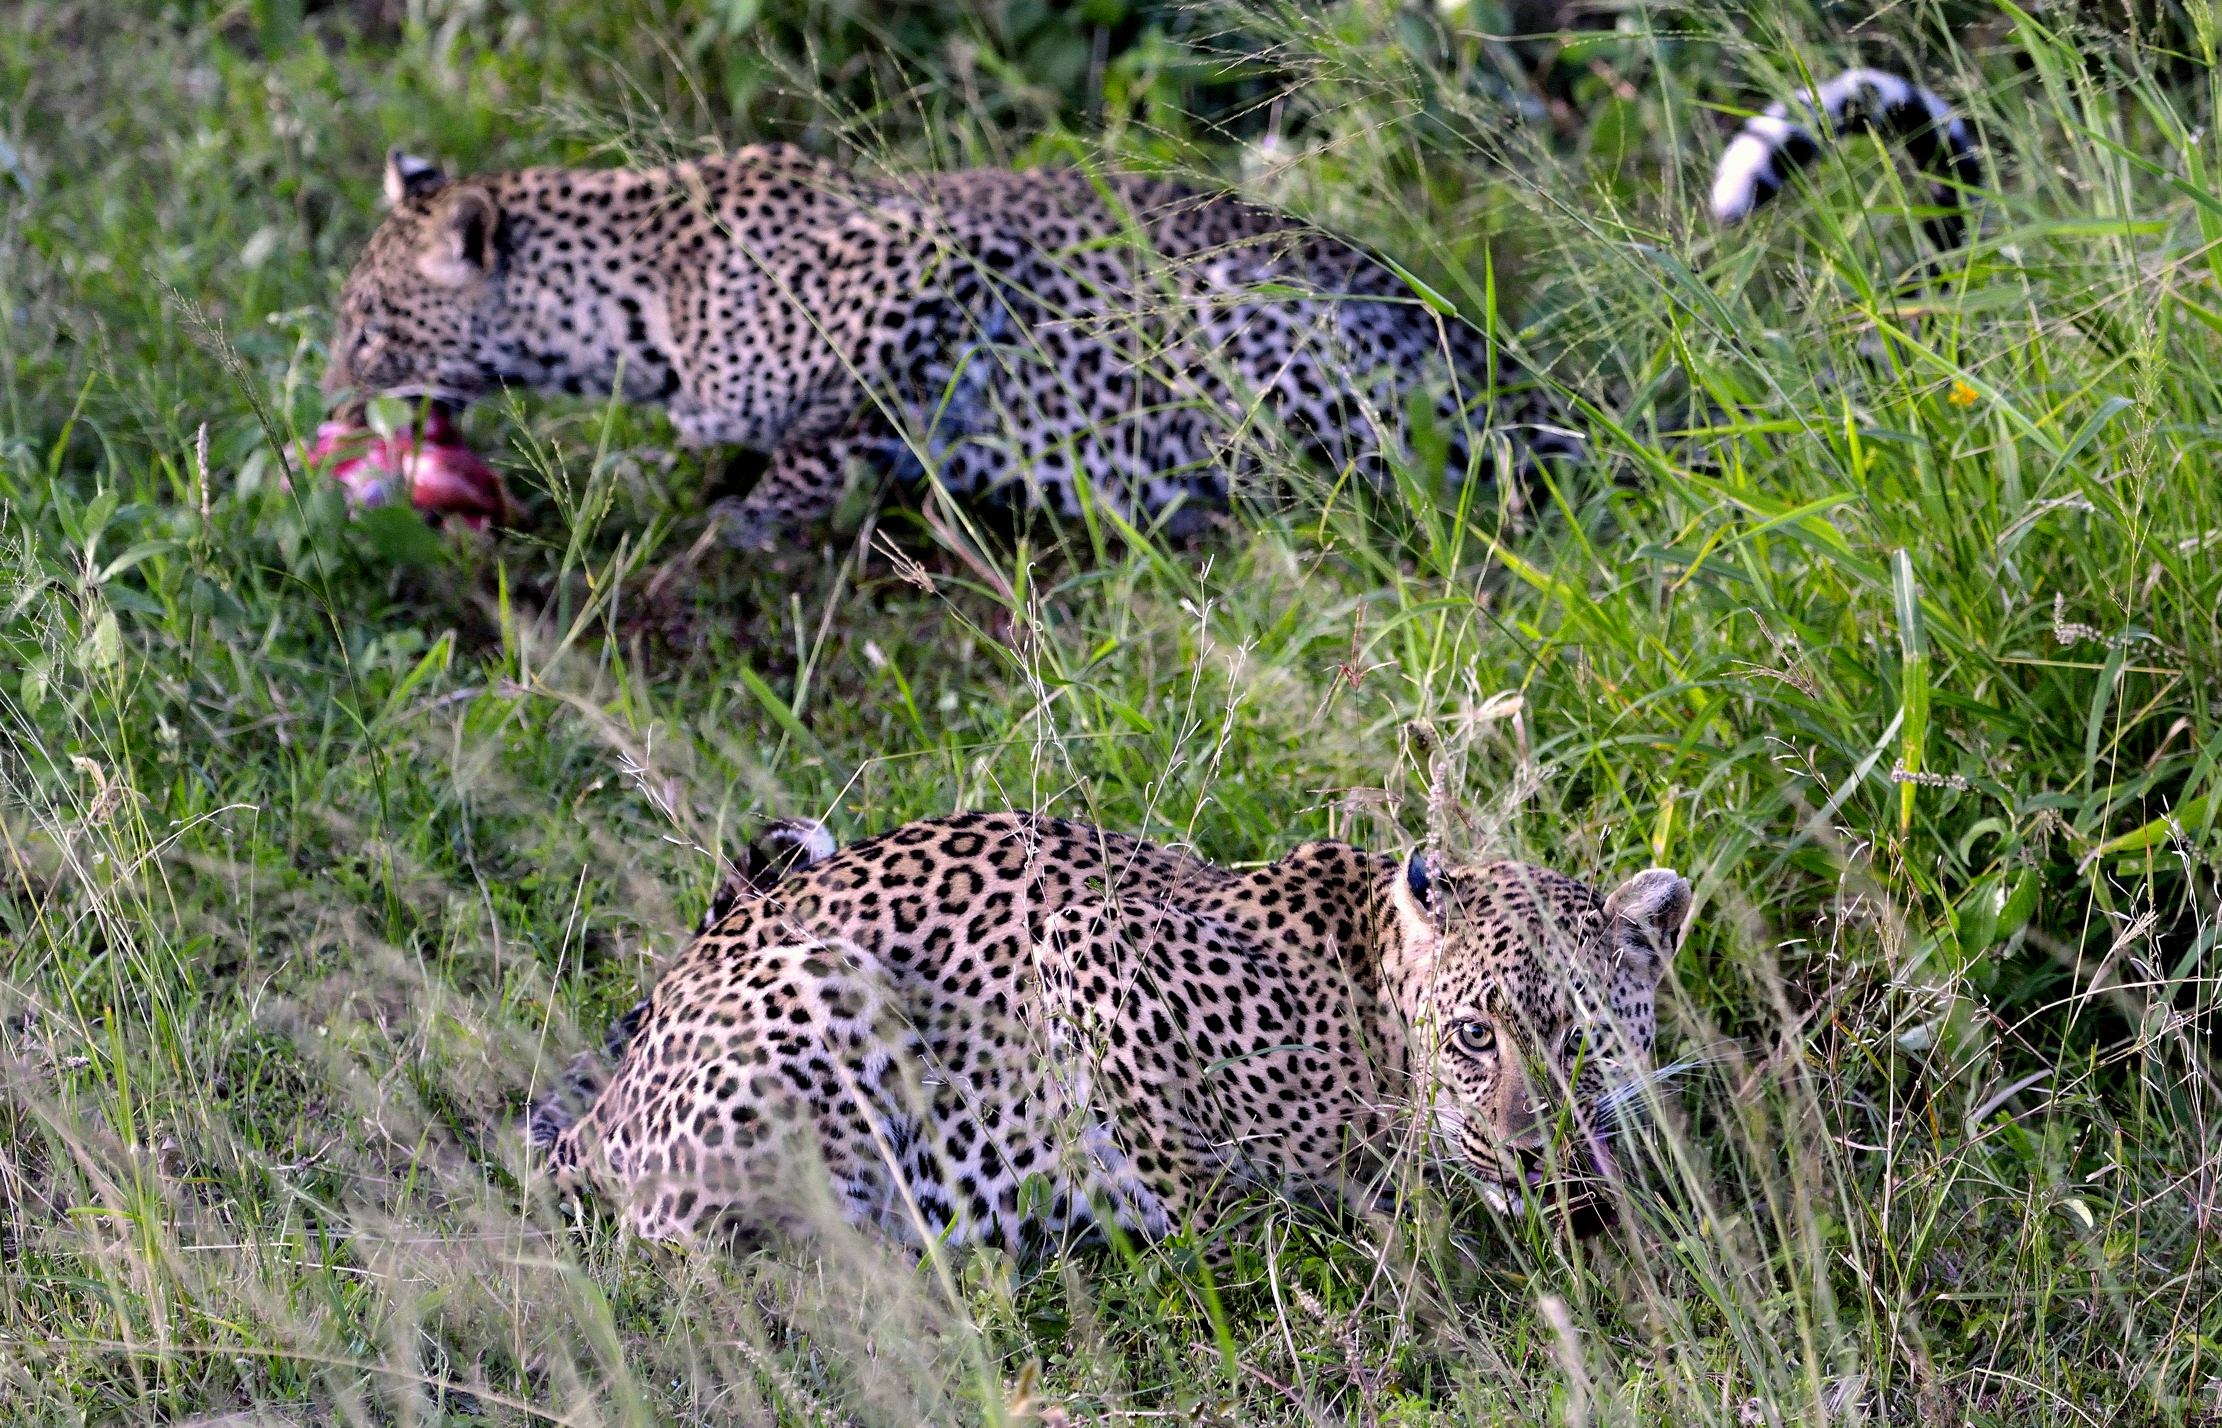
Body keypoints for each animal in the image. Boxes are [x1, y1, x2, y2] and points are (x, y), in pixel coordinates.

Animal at [324, 67, 1973, 544]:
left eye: (360, 326)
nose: (330, 404)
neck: (635, 300)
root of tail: (1527, 385)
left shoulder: (924, 274)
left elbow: (836, 429)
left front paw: (762, 512)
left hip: (1266, 337)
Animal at [536, 810, 1693, 1252]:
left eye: (1584, 1036)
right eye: (1472, 1037)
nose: (1531, 1150)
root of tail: (599, 1114)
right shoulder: (1087, 941)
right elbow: (1196, 1179)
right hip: (818, 988)